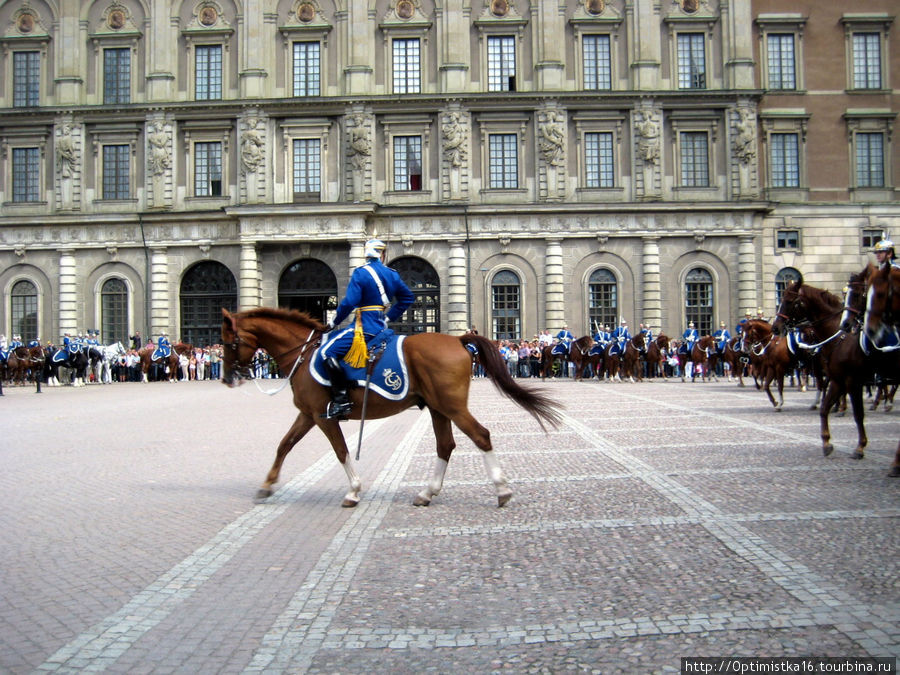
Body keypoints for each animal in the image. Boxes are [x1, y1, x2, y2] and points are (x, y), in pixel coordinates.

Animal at [223, 306, 564, 508]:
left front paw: (353, 490)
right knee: (445, 445)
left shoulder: (323, 416)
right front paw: (267, 485)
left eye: (228, 341)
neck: (305, 353)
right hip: (438, 409)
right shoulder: (308, 414)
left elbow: (340, 451)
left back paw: (502, 490)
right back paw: (427, 492)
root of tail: (458, 341)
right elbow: (285, 445)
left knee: (481, 436)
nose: (227, 378)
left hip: (452, 407)